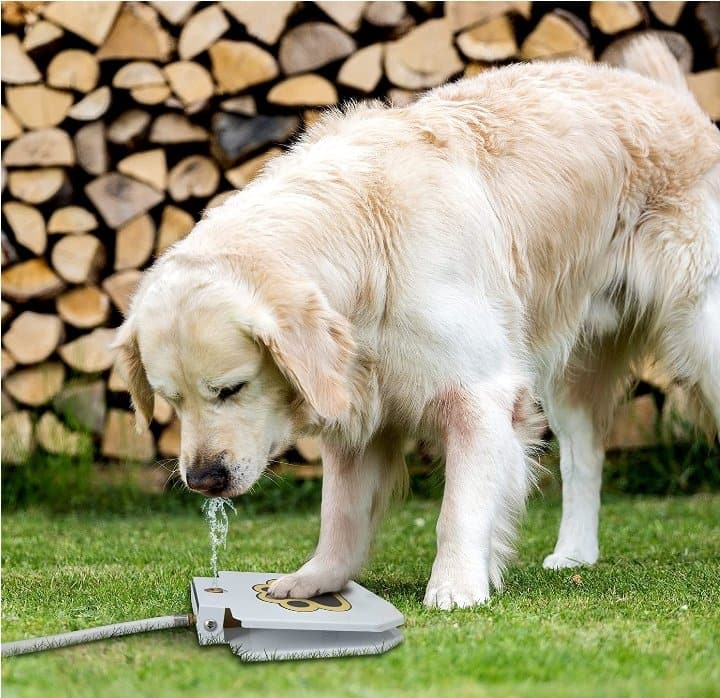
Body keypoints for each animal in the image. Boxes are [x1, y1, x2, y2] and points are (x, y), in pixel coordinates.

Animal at [115, 35, 716, 608]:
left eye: (231, 389)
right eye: (170, 401)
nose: (203, 480)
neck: (364, 240)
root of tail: (677, 100)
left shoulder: (479, 393)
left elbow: (458, 509)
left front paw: (455, 588)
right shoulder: (357, 404)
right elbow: (340, 513)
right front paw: (317, 579)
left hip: (700, 335)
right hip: (571, 370)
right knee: (584, 457)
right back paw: (573, 554)